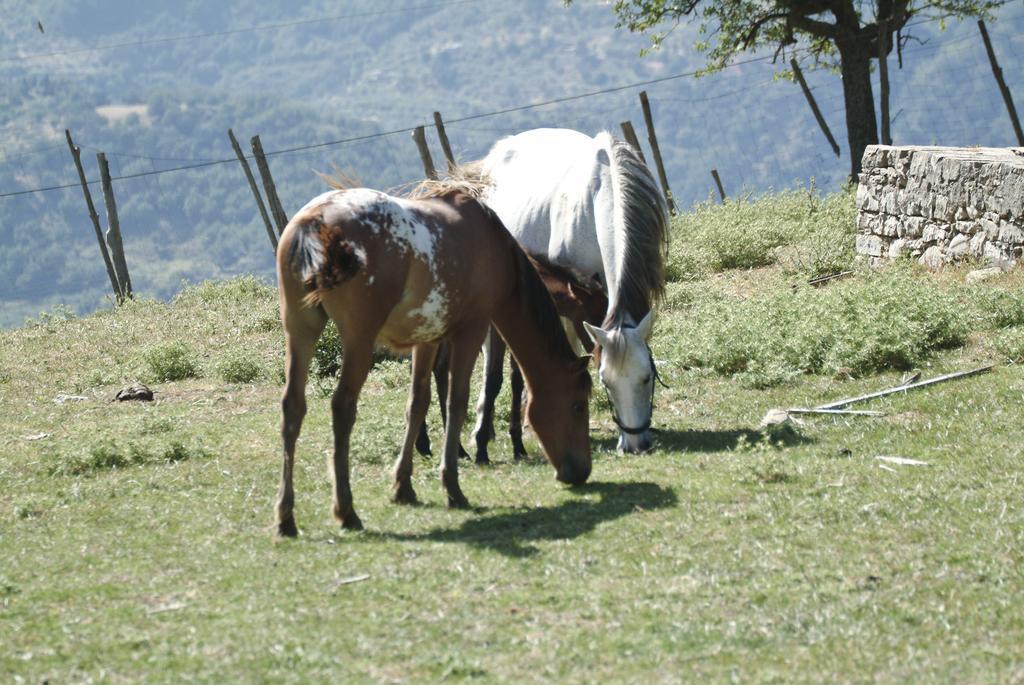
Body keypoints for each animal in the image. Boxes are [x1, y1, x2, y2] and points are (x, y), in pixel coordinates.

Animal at [274, 185, 593, 532]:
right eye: (578, 406)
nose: (582, 472)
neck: (494, 246)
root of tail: (316, 220)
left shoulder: (426, 339)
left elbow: (418, 402)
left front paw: (403, 486)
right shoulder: (471, 330)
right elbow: (457, 401)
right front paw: (453, 486)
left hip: (299, 329)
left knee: (293, 407)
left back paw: (286, 516)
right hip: (359, 339)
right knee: (343, 407)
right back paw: (346, 510)